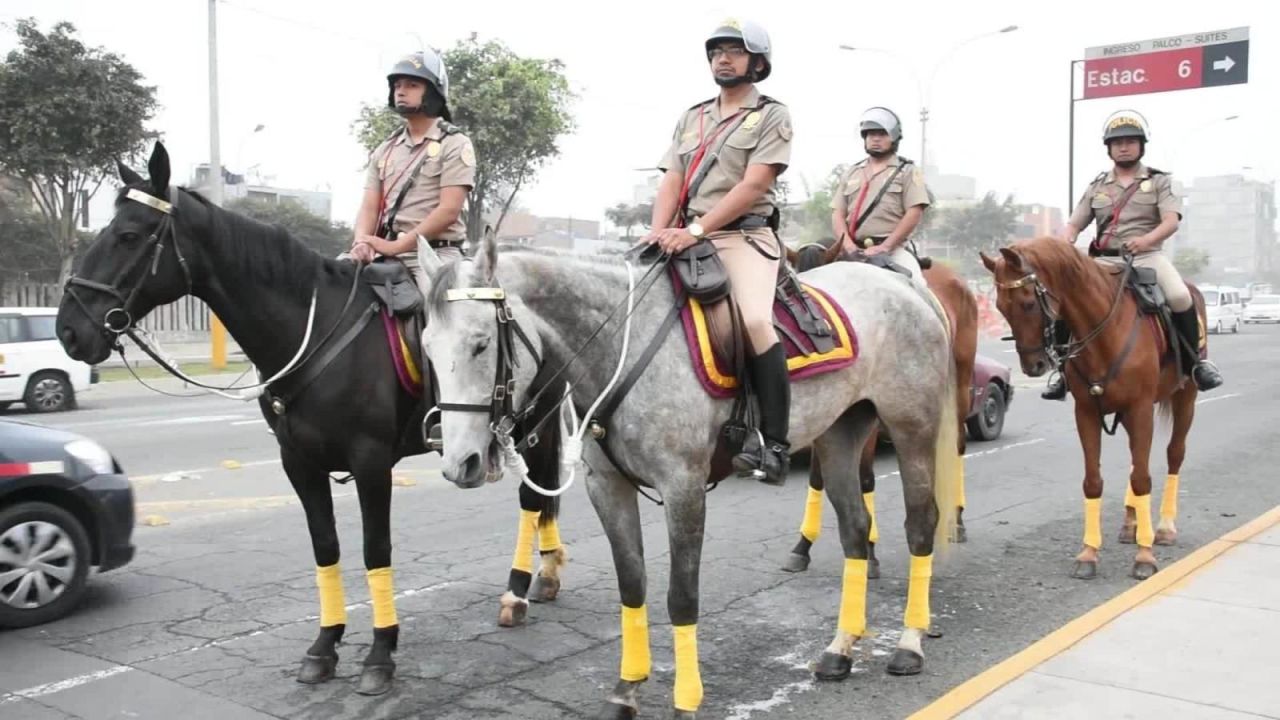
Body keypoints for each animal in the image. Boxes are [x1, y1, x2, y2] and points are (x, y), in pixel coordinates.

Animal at [53, 141, 565, 696]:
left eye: (128, 235)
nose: (69, 330)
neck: (313, 332)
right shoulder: (298, 463)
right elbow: (326, 548)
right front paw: (325, 644)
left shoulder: (371, 462)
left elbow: (375, 549)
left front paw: (380, 653)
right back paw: (546, 573)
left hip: (534, 425)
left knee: (532, 497)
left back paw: (518, 590)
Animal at [773, 240, 972, 576]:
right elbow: (820, 478)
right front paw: (803, 547)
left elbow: (865, 477)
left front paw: (870, 552)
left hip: (957, 388)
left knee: (957, 445)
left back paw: (956, 521)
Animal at [983, 238, 1203, 579]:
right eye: (999, 307)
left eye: (1028, 303)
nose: (1033, 366)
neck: (1105, 331)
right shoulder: (1086, 412)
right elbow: (1094, 480)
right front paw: (1088, 552)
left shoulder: (1141, 408)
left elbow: (1143, 478)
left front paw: (1145, 556)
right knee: (1136, 462)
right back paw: (1131, 524)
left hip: (1185, 397)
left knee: (1174, 454)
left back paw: (1164, 528)